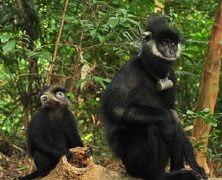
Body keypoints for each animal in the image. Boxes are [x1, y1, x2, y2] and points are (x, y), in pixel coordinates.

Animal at [99, 16, 207, 179]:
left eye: (173, 44)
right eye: (164, 43)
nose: (170, 50)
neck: (152, 73)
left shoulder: (171, 75)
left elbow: (172, 111)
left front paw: (192, 159)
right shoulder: (130, 68)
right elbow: (116, 109)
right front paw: (165, 119)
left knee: (173, 117)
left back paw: (177, 170)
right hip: (133, 163)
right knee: (151, 127)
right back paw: (159, 175)